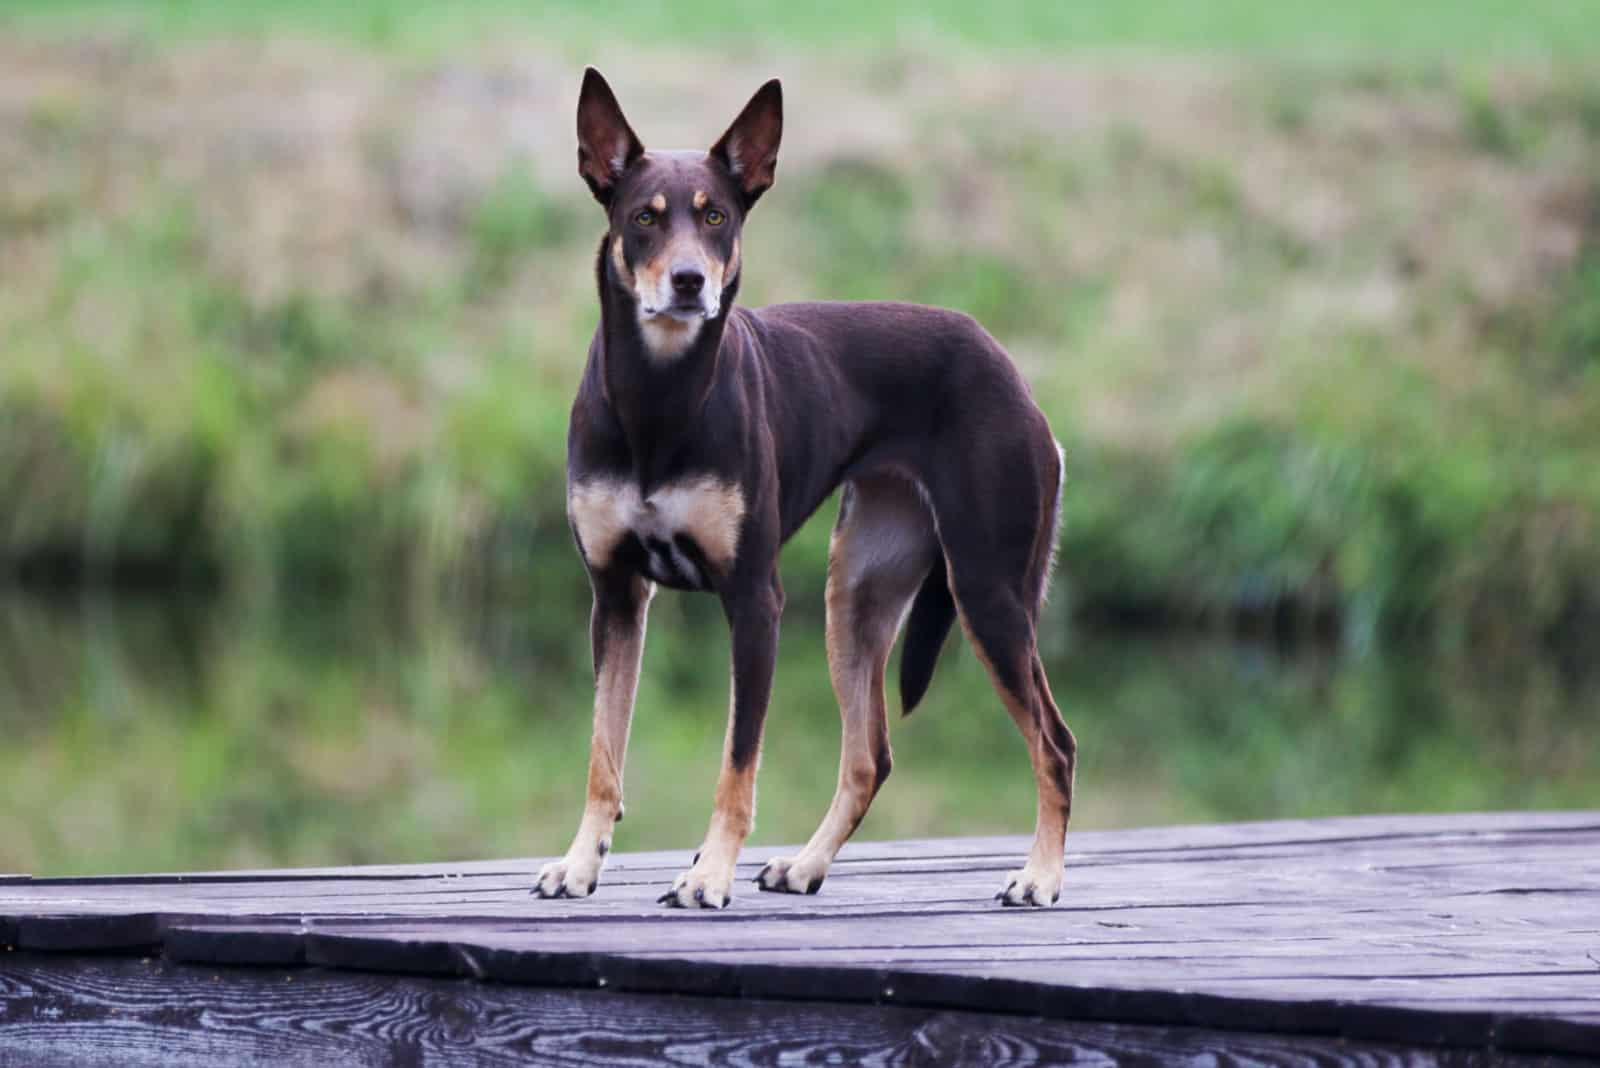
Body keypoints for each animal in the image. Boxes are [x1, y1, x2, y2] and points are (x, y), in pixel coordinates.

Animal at [534, 68, 1075, 908]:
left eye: (716, 216)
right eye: (643, 219)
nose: (689, 283)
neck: (660, 400)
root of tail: (1013, 375)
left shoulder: (755, 602)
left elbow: (737, 763)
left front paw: (709, 875)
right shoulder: (616, 596)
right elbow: (603, 752)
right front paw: (581, 863)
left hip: (989, 590)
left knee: (1055, 743)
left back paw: (1041, 876)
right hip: (855, 595)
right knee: (869, 755)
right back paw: (806, 865)